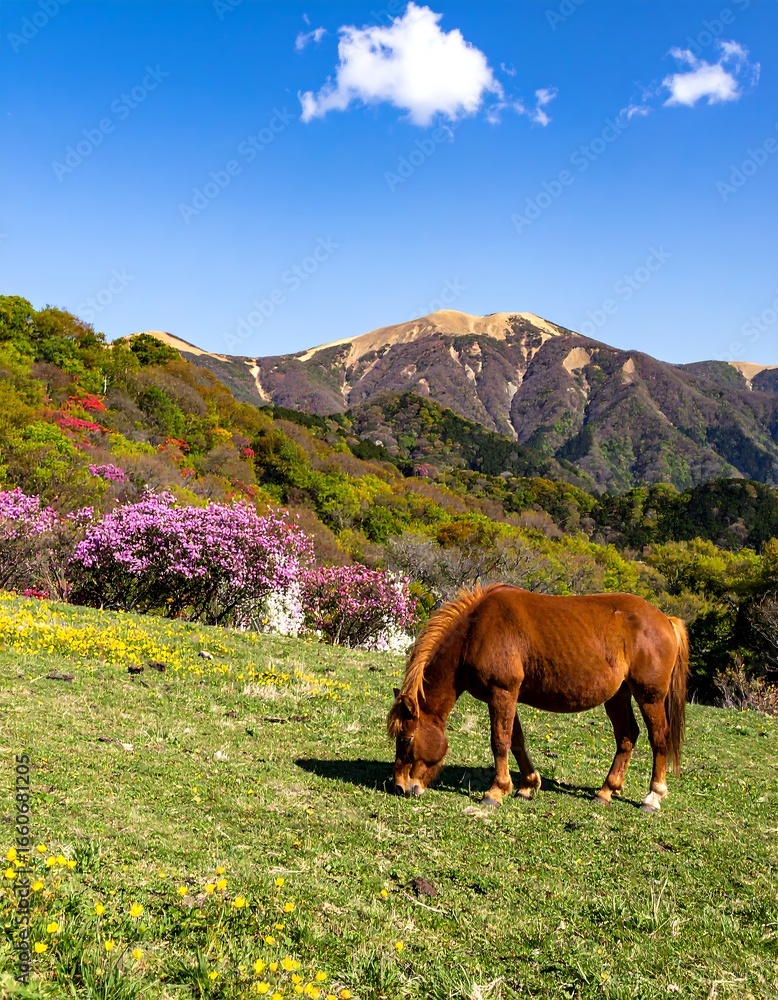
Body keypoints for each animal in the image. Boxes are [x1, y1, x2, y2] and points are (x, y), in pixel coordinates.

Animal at [387, 583, 689, 813]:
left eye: (406, 739)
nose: (400, 787)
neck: (475, 631)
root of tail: (666, 620)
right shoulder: (507, 696)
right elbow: (516, 741)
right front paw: (527, 785)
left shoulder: (502, 692)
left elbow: (500, 741)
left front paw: (495, 792)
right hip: (618, 695)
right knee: (627, 737)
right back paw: (606, 791)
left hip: (650, 697)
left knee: (658, 738)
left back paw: (653, 796)